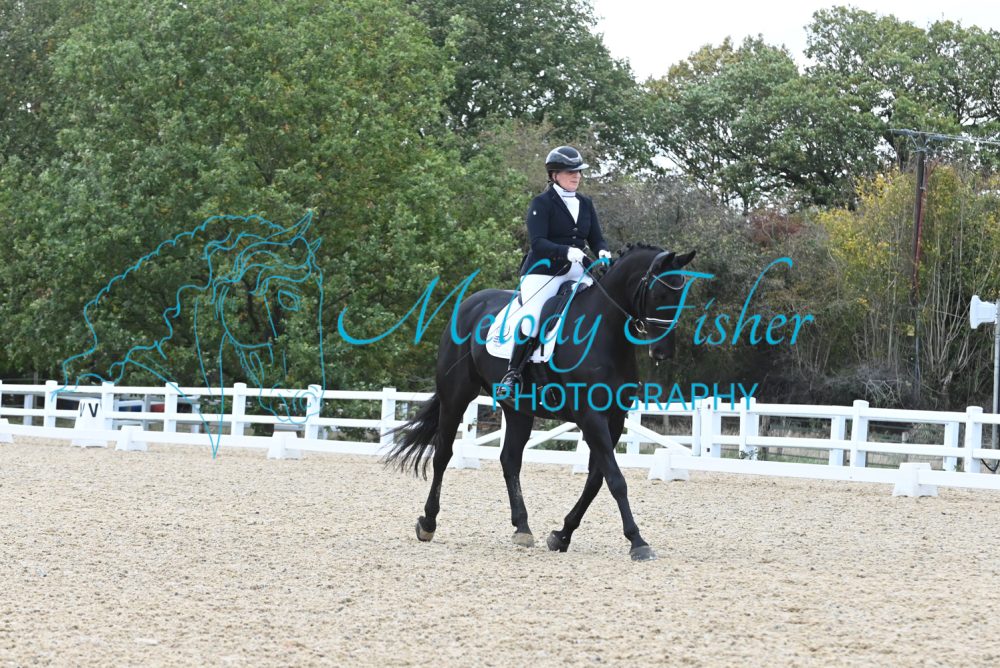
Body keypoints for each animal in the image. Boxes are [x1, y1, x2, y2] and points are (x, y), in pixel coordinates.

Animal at [385, 244, 697, 561]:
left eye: (681, 296)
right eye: (659, 295)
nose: (662, 352)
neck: (604, 333)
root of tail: (469, 303)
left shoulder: (614, 420)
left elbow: (596, 480)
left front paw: (562, 534)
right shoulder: (591, 418)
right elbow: (615, 479)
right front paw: (637, 541)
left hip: (518, 410)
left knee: (510, 459)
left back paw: (522, 528)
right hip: (456, 397)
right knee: (442, 455)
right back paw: (428, 523)